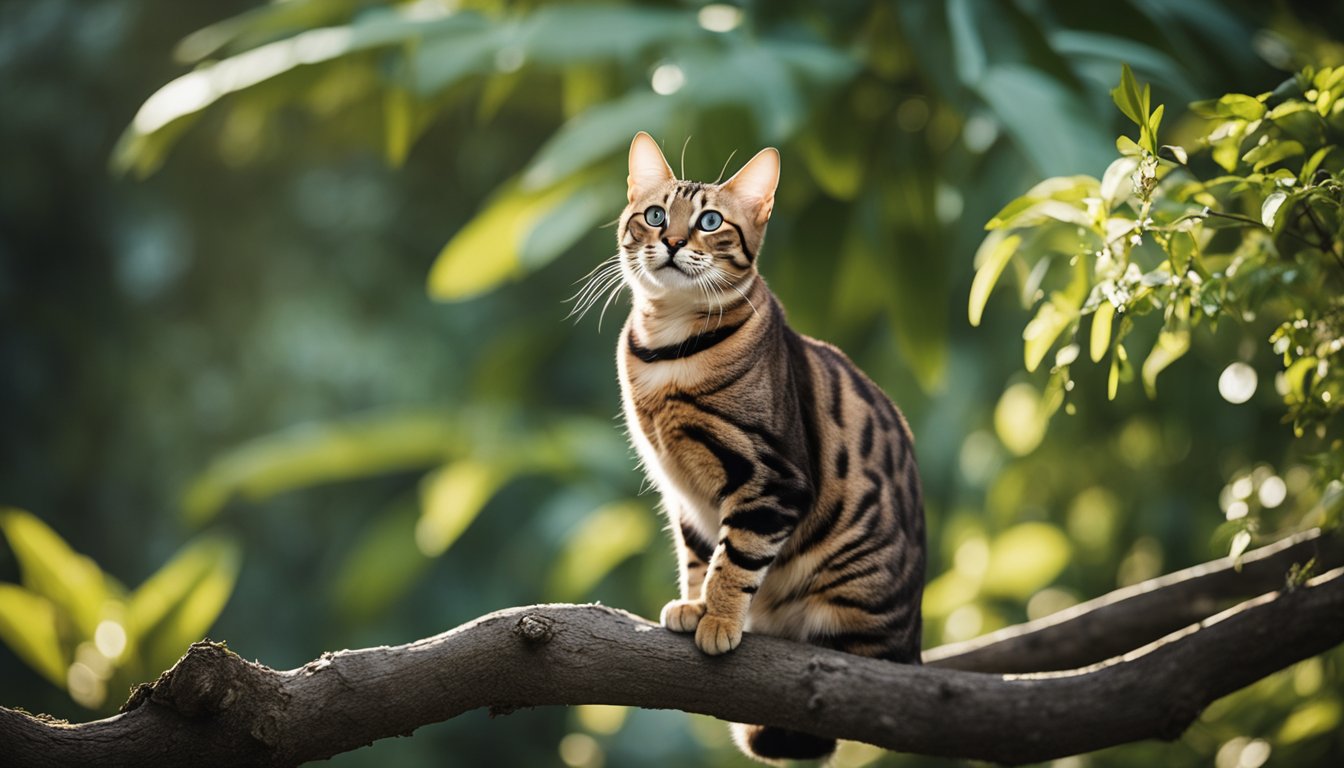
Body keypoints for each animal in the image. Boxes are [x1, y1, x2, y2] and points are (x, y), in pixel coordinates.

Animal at [599, 132, 924, 763]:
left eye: (709, 221)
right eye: (655, 216)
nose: (671, 241)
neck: (667, 351)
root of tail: (913, 647)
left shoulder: (772, 479)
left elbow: (737, 559)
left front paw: (719, 618)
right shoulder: (685, 494)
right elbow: (699, 554)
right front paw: (694, 606)